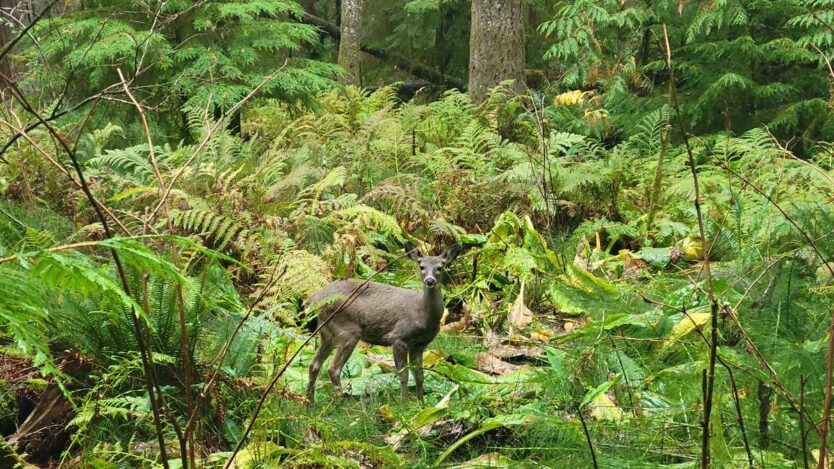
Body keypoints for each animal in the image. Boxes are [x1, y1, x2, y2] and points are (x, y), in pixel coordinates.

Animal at [304, 241, 462, 402]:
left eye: (440, 267)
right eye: (421, 266)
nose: (429, 281)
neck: (423, 315)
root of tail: (315, 299)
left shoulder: (420, 344)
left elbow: (419, 375)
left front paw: (421, 403)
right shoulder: (398, 337)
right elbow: (403, 374)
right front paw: (404, 402)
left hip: (326, 333)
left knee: (314, 365)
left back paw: (309, 401)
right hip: (347, 331)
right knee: (333, 369)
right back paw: (341, 400)